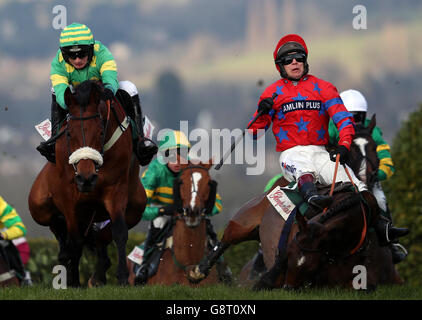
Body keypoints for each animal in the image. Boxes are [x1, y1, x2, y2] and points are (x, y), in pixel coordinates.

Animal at [28, 81, 147, 286]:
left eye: (100, 131)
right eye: (69, 134)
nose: (86, 179)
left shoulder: (116, 189)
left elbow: (119, 231)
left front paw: (123, 278)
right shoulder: (68, 195)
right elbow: (75, 239)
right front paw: (74, 281)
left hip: (135, 208)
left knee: (101, 236)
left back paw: (98, 274)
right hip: (39, 207)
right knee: (58, 226)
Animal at [188, 115, 402, 290]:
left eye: (374, 147)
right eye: (353, 151)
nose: (367, 176)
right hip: (244, 222)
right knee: (226, 240)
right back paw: (200, 270)